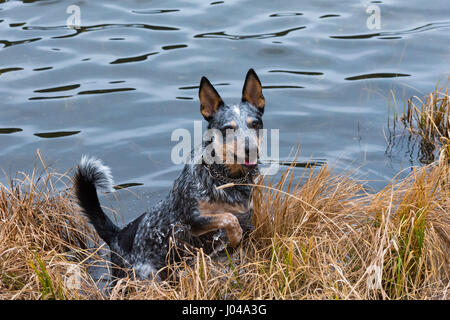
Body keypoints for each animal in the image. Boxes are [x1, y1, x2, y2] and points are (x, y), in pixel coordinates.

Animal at [73, 68, 264, 280]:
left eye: (255, 124)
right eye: (228, 128)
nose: (251, 149)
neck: (228, 179)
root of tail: (116, 236)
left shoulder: (247, 219)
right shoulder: (192, 220)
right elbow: (229, 218)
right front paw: (233, 235)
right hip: (147, 276)